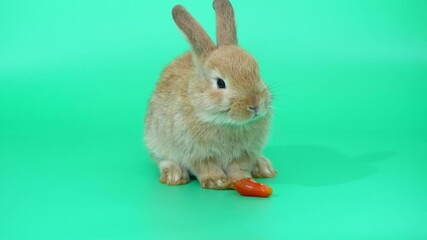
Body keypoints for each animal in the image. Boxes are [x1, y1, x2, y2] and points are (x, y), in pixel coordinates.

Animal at [144, 0, 278, 189]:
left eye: (257, 72)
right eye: (220, 83)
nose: (255, 105)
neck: (223, 121)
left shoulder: (244, 153)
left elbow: (239, 167)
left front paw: (240, 180)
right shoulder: (197, 153)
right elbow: (206, 166)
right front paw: (216, 181)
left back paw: (263, 167)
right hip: (156, 140)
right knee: (164, 159)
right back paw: (174, 174)